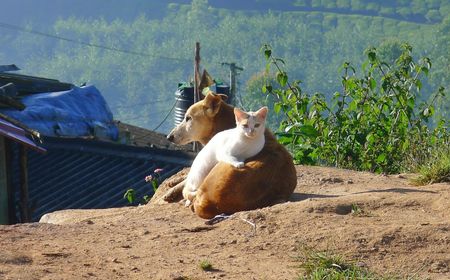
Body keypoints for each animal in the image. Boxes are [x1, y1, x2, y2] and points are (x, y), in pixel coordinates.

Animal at [164, 92, 296, 219]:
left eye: (188, 118)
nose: (169, 137)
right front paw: (174, 182)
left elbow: (187, 182)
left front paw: (173, 189)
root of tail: (210, 203)